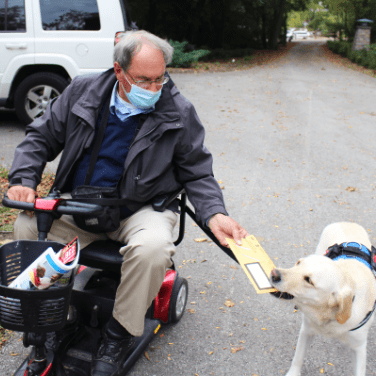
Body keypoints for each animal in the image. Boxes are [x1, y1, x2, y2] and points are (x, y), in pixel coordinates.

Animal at [270, 222, 376, 374]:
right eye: (298, 263)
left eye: (309, 280)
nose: (274, 273)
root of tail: (346, 222)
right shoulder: (306, 330)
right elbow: (297, 358)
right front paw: (293, 373)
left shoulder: (359, 348)